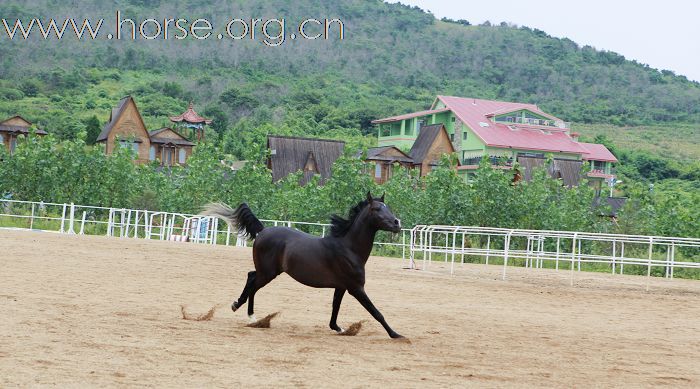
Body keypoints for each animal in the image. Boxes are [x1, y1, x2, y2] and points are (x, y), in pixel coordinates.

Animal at [204, 192, 404, 338]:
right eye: (377, 209)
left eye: (388, 207)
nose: (397, 223)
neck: (348, 248)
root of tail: (263, 230)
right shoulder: (356, 288)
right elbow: (376, 312)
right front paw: (396, 334)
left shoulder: (341, 287)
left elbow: (335, 308)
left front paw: (338, 328)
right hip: (268, 273)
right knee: (253, 284)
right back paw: (247, 314)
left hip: (267, 271)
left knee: (251, 277)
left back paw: (246, 312)